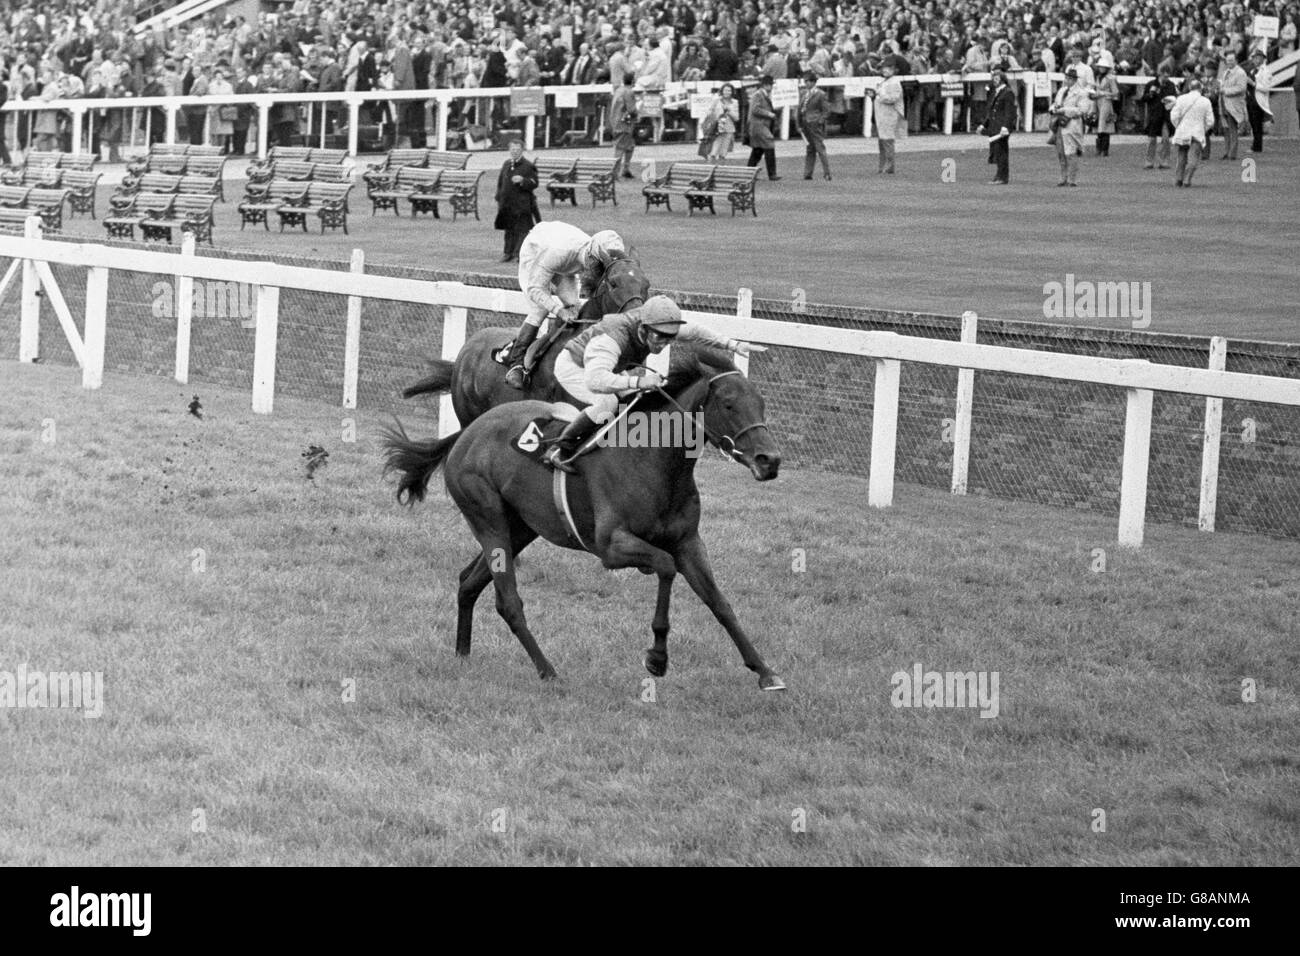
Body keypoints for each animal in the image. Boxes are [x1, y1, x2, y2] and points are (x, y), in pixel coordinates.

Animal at [379, 343, 785, 686]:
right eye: (729, 404)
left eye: (761, 404)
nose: (770, 460)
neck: (654, 463)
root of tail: (465, 434)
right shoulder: (611, 547)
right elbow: (666, 567)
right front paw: (657, 658)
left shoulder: (688, 542)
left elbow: (720, 603)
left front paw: (765, 671)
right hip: (487, 517)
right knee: (508, 601)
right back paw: (547, 670)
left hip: (521, 527)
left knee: (468, 582)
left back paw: (462, 654)